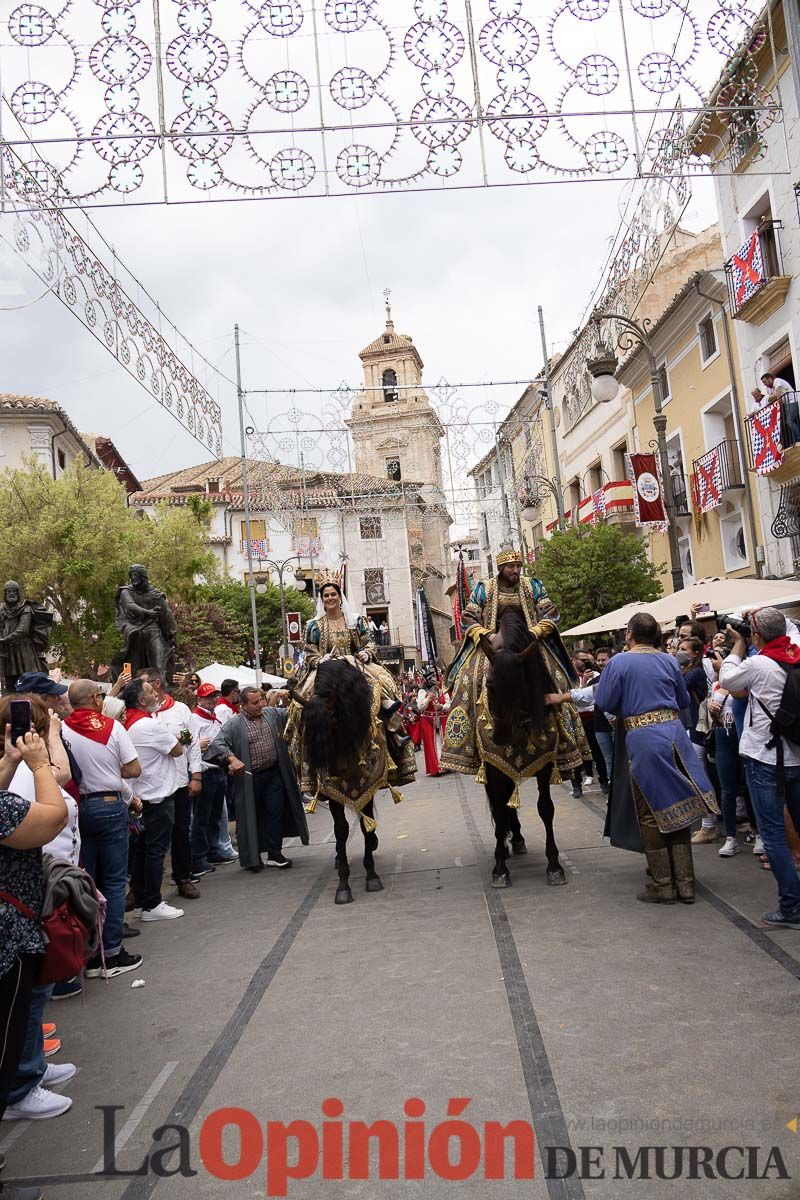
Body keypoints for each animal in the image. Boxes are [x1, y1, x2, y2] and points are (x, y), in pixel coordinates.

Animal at [292, 662, 386, 902]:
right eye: (304, 729)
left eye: (332, 724)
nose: (319, 769)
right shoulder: (334, 794)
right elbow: (341, 830)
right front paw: (343, 884)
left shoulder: (368, 786)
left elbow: (366, 825)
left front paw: (372, 875)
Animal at [474, 609, 568, 892]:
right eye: (489, 686)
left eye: (520, 685)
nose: (500, 736)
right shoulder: (493, 767)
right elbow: (498, 808)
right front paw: (499, 868)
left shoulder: (545, 765)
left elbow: (546, 808)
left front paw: (554, 865)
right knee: (502, 805)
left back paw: (515, 839)